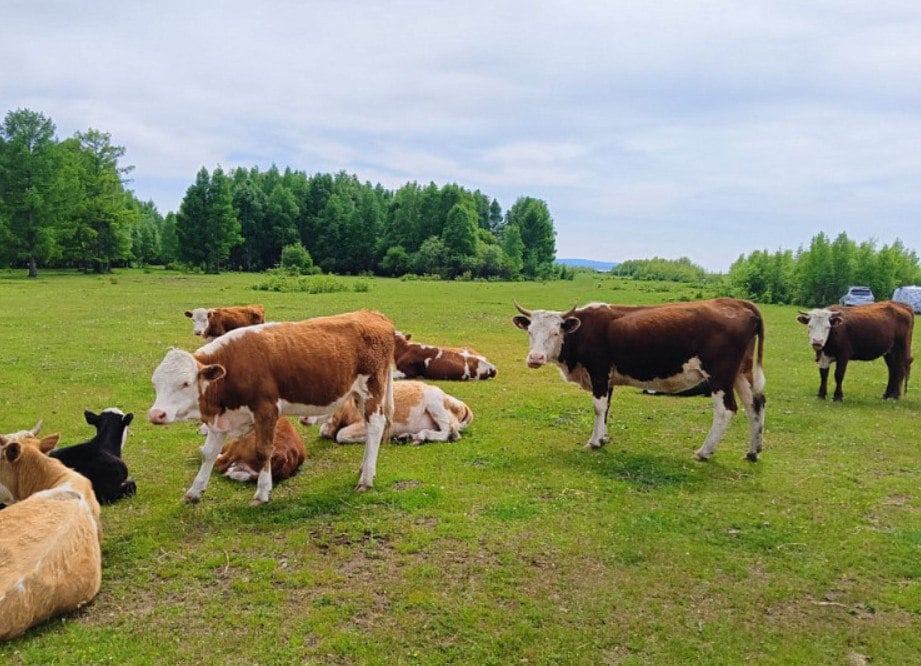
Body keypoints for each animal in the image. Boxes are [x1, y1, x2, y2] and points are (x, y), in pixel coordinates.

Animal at [149, 310, 394, 504]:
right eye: (155, 382)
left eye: (185, 383)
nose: (156, 414)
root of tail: (373, 314)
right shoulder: (222, 418)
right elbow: (208, 453)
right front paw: (194, 491)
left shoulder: (266, 410)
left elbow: (263, 451)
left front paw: (262, 493)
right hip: (357, 394)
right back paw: (365, 468)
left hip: (372, 387)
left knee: (375, 426)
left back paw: (366, 479)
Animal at [512, 298, 764, 460]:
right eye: (530, 331)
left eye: (556, 332)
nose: (535, 358)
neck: (582, 332)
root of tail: (736, 303)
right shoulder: (608, 378)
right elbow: (607, 408)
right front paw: (604, 438)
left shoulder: (599, 372)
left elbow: (598, 407)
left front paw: (594, 441)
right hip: (741, 373)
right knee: (755, 404)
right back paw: (753, 451)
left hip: (720, 375)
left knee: (726, 410)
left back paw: (705, 452)